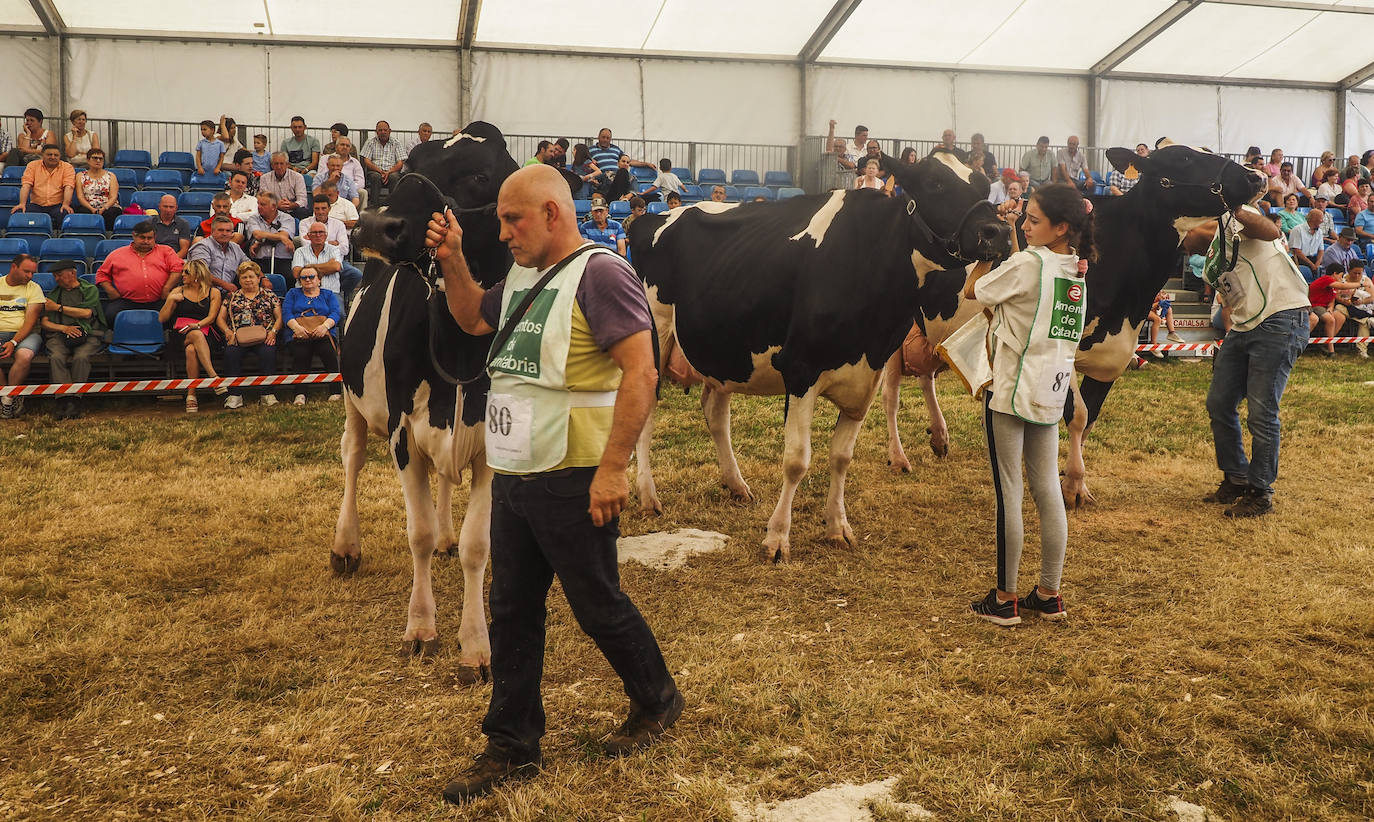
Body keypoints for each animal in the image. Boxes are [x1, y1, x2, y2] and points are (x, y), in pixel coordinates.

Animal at [329, 120, 522, 681]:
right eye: (409, 164)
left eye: (479, 175)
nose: (375, 225)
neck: (458, 347)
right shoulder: (401, 433)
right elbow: (414, 533)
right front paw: (420, 627)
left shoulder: (492, 444)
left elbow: (479, 547)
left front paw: (476, 646)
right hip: (351, 396)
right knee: (351, 457)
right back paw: (345, 546)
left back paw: (445, 536)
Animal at [629, 153, 1011, 566]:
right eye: (934, 184)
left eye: (982, 184)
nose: (999, 232)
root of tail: (654, 217)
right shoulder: (801, 370)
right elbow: (797, 460)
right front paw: (777, 538)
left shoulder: (868, 375)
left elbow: (841, 456)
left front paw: (837, 528)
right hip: (656, 333)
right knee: (646, 413)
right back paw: (648, 497)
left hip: (724, 350)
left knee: (715, 413)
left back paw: (736, 484)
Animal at [879, 144, 1264, 505]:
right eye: (1184, 158)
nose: (1256, 177)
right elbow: (1076, 414)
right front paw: (1074, 486)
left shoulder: (1116, 351)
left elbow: (1090, 417)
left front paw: (1068, 475)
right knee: (891, 396)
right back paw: (898, 458)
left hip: (929, 329)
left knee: (926, 375)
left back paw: (939, 437)